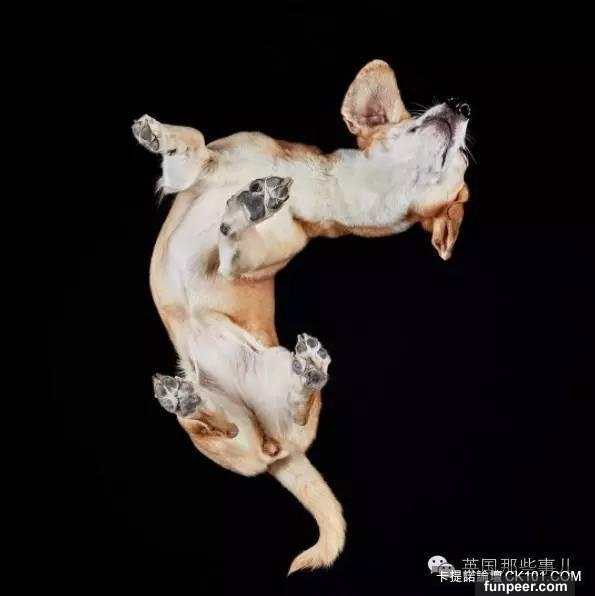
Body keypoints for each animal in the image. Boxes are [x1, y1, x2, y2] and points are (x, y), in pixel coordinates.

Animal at [132, 59, 470, 574]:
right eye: (415, 119)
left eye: (461, 160)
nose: (461, 105)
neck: (333, 190)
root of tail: (279, 450)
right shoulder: (191, 170)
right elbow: (192, 139)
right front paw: (161, 134)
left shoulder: (254, 257)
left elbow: (233, 247)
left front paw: (246, 210)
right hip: (213, 429)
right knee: (219, 427)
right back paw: (186, 399)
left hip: (272, 368)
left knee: (285, 410)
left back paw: (307, 371)